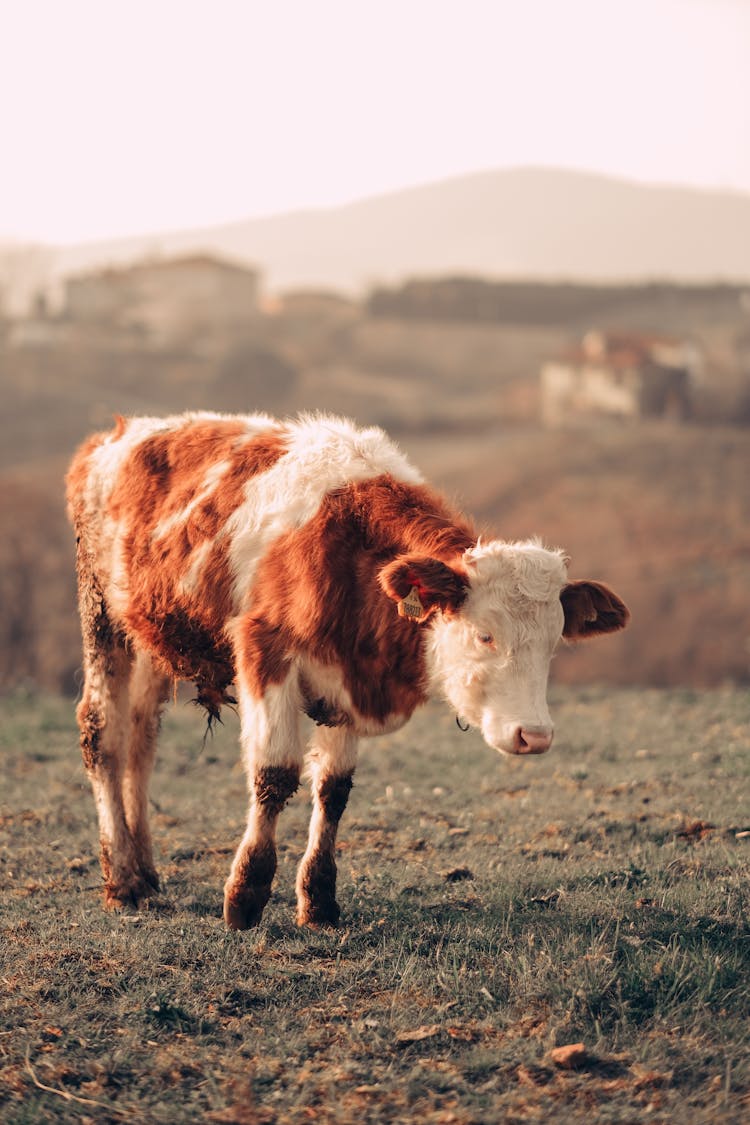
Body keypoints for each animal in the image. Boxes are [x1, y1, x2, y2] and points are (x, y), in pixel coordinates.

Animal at [64, 414, 629, 931]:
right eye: (484, 635)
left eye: (553, 643)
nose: (534, 735)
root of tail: (118, 434)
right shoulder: (264, 647)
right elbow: (274, 774)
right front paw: (246, 895)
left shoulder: (349, 677)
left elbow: (333, 790)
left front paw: (318, 900)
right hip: (101, 613)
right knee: (102, 732)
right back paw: (122, 878)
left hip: (150, 635)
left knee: (140, 736)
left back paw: (145, 870)